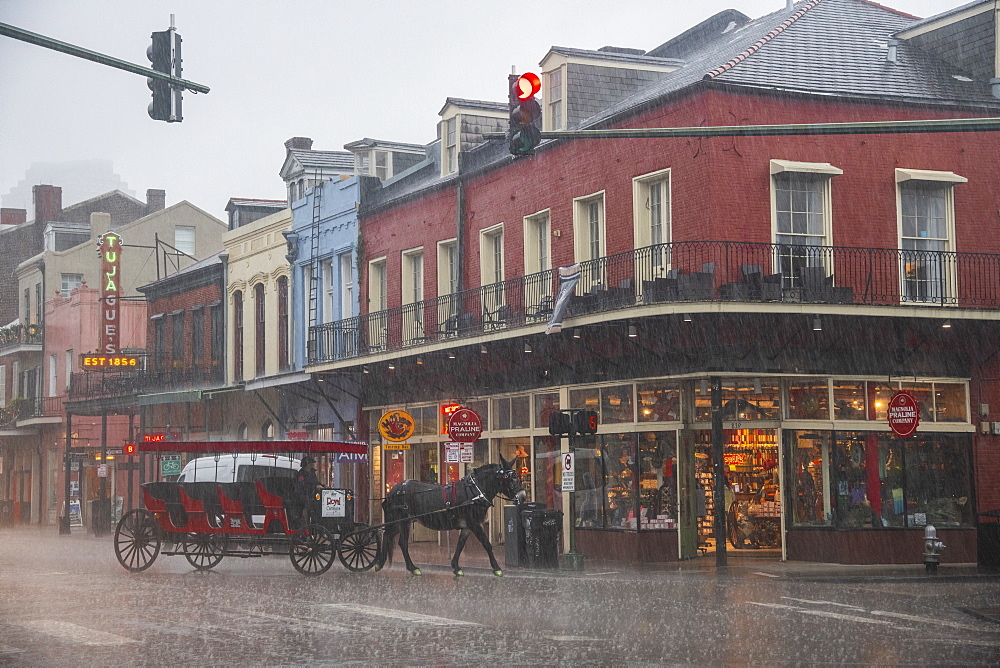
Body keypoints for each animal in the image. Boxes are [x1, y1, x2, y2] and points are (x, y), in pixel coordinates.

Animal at [376, 456, 524, 576]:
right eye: (512, 479)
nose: (523, 496)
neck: (474, 491)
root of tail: (393, 490)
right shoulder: (475, 524)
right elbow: (487, 544)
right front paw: (497, 568)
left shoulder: (467, 526)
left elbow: (460, 545)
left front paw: (456, 566)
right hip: (403, 521)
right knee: (402, 542)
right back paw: (412, 568)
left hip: (399, 522)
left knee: (388, 535)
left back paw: (379, 563)